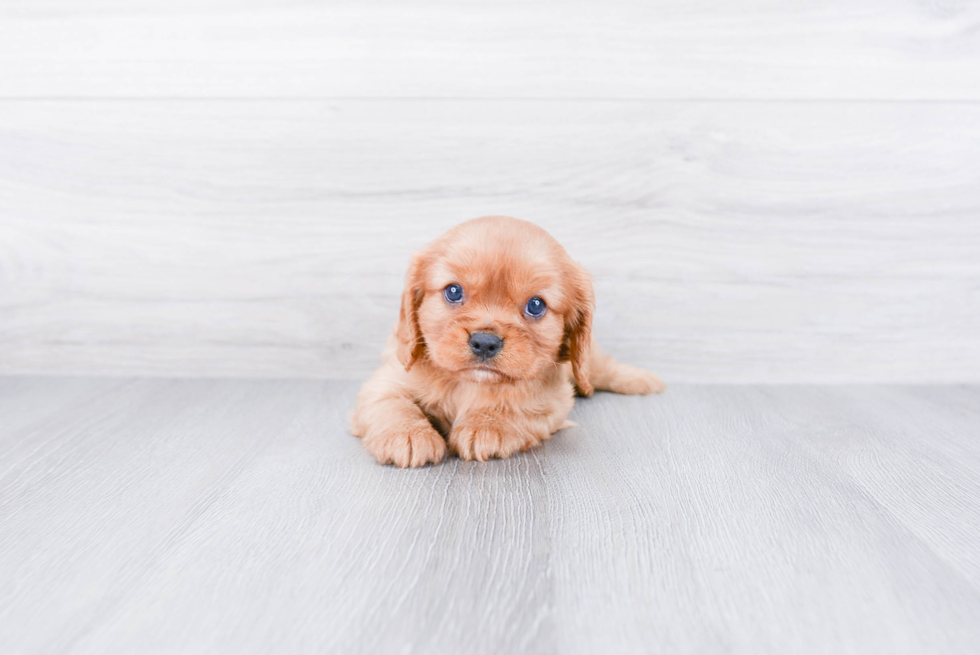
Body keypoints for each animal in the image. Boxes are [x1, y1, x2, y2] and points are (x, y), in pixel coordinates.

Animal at [348, 218, 664, 468]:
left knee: (601, 369)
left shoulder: (552, 399)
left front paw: (487, 426)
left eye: (535, 305)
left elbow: (517, 404)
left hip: (586, 364)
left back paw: (644, 380)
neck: (468, 384)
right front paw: (408, 435)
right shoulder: (385, 380)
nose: (484, 342)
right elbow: (391, 403)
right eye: (453, 291)